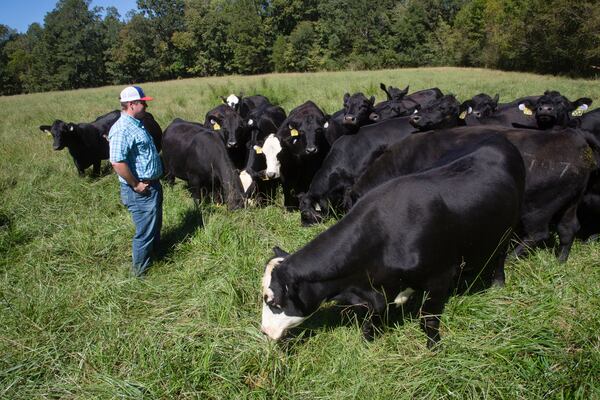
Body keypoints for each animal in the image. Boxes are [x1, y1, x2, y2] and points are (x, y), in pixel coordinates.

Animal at [262, 134, 524, 346]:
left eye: (275, 303)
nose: (264, 332)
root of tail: (497, 137)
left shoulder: (439, 277)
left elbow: (428, 320)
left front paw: (434, 347)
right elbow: (374, 317)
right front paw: (369, 338)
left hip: (508, 228)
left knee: (500, 256)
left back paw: (497, 284)